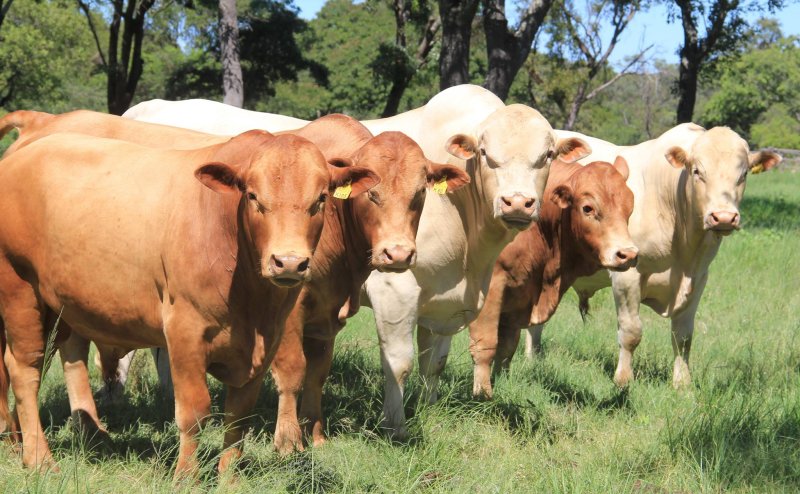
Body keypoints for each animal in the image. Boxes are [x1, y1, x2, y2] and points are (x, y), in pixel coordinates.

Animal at [0, 130, 379, 475]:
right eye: (253, 196)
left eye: (321, 198)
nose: (288, 262)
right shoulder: (185, 331)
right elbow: (194, 412)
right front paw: (187, 476)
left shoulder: (268, 339)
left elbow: (239, 415)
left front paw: (229, 479)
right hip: (20, 291)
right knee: (24, 370)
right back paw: (39, 459)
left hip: (57, 311)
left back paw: (18, 443)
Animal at [468, 157, 637, 399]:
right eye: (588, 208)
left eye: (630, 205)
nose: (628, 255)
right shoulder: (492, 287)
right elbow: (486, 344)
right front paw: (483, 395)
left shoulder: (518, 296)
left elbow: (507, 348)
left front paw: (500, 383)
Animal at [525, 124, 781, 389]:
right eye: (697, 171)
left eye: (743, 174)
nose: (724, 217)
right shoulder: (626, 274)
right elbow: (631, 332)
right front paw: (623, 379)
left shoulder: (699, 278)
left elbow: (683, 336)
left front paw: (682, 384)